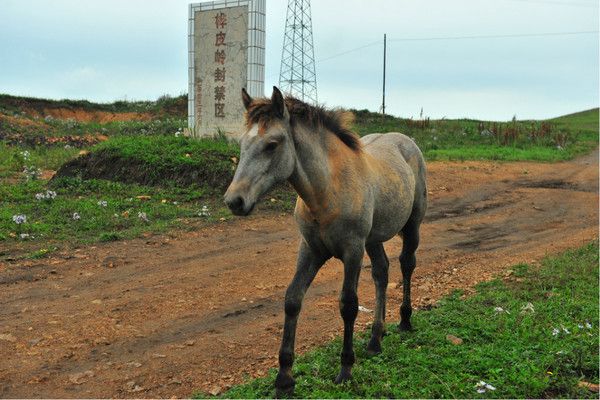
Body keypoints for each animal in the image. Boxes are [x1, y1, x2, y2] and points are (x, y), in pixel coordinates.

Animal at [224, 86, 426, 396]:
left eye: (272, 144)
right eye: (242, 143)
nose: (234, 201)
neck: (327, 191)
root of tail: (407, 142)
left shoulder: (352, 251)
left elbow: (348, 305)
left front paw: (345, 368)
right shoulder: (310, 250)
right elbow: (292, 299)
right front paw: (284, 379)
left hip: (411, 225)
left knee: (406, 265)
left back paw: (404, 320)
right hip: (373, 240)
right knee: (381, 272)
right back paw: (375, 340)